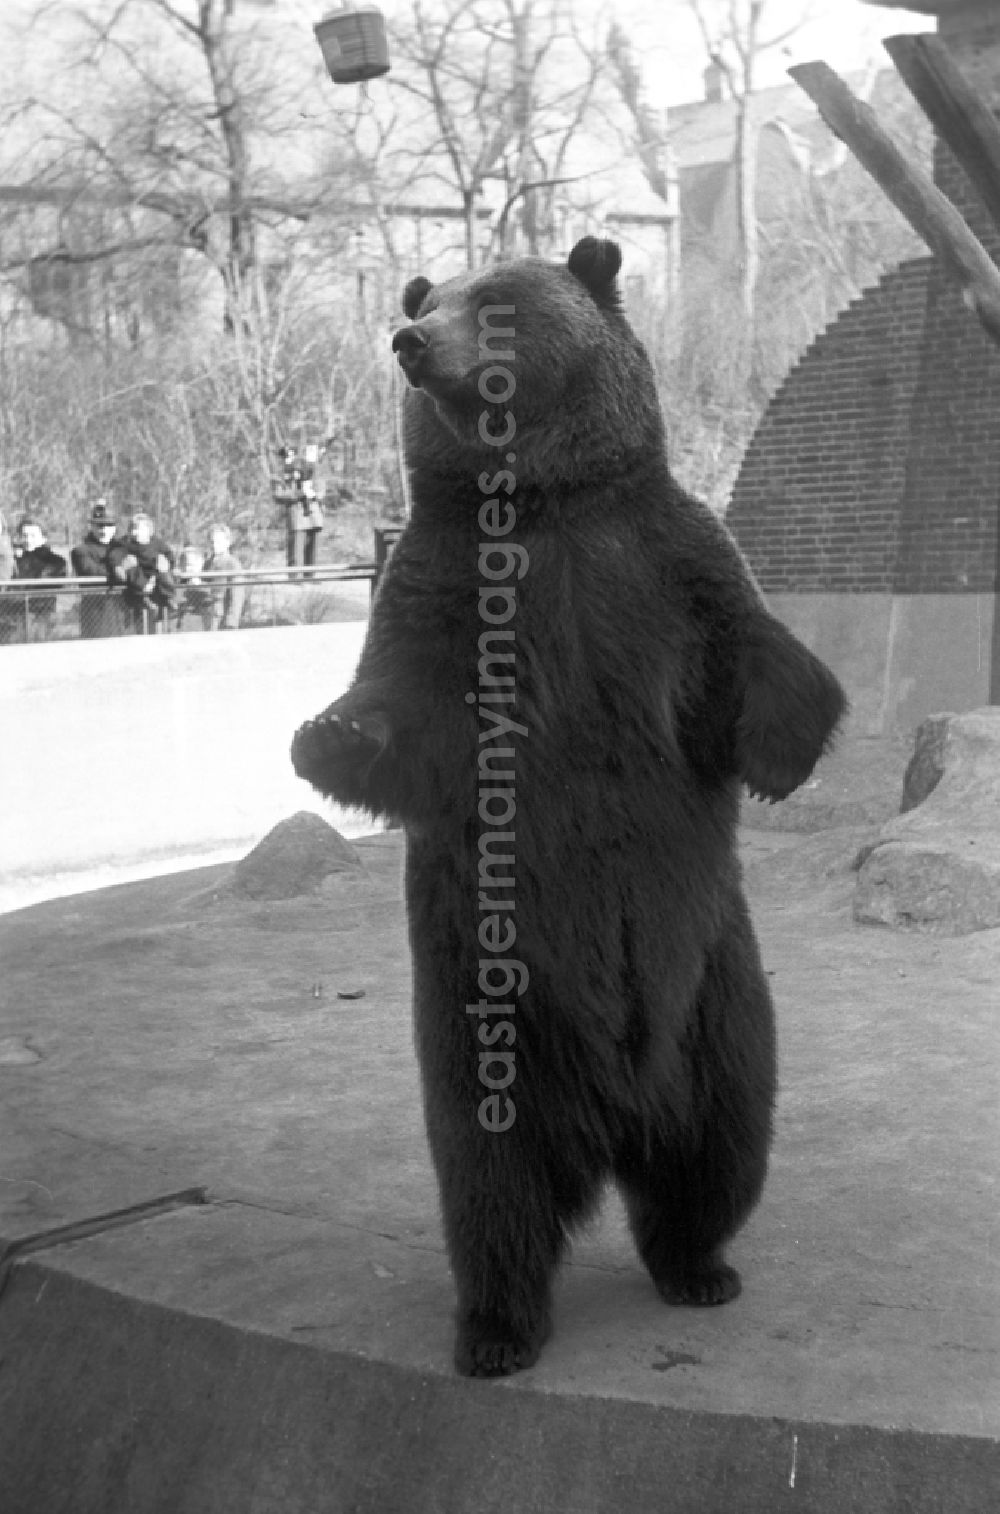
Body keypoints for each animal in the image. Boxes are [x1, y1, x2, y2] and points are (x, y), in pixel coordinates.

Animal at [291, 233, 847, 1374]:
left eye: (493, 300)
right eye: (431, 297)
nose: (411, 339)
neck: (541, 504)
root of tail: (612, 1123)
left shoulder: (660, 562)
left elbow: (749, 648)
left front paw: (789, 745)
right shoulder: (444, 585)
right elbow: (398, 702)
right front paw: (326, 733)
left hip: (716, 996)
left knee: (720, 1148)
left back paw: (700, 1267)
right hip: (485, 1019)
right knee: (491, 1192)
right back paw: (498, 1328)